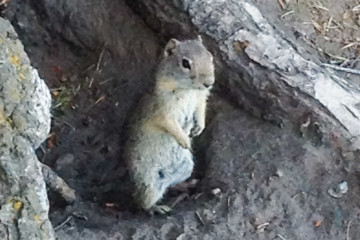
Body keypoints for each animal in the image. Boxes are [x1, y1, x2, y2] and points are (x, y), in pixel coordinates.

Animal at [124, 36, 214, 215]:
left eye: (210, 56)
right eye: (185, 63)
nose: (209, 83)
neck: (187, 89)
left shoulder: (199, 99)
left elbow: (200, 111)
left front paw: (198, 129)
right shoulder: (163, 109)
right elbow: (169, 124)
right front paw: (184, 140)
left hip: (186, 167)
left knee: (171, 183)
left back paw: (186, 185)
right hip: (149, 182)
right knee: (141, 201)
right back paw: (156, 208)